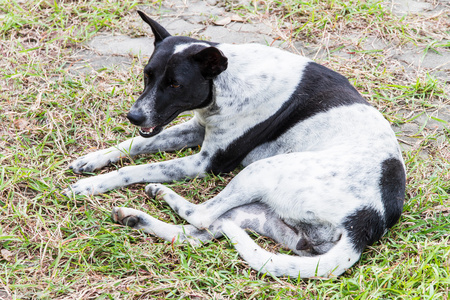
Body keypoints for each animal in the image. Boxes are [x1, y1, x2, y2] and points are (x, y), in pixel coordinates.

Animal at [65, 11, 406, 278]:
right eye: (147, 76)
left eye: (175, 84)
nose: (134, 115)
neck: (226, 79)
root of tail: (367, 221)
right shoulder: (196, 129)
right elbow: (134, 143)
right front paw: (93, 159)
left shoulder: (205, 162)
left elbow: (136, 168)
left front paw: (92, 185)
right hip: (256, 216)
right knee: (196, 234)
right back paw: (136, 217)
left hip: (260, 172)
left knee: (201, 215)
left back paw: (159, 196)